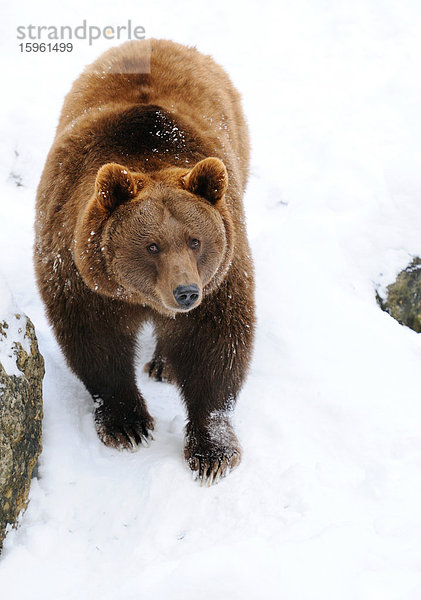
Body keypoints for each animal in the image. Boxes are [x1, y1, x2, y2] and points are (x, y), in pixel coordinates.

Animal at [34, 37, 254, 486]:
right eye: (152, 246)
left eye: (195, 241)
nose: (185, 292)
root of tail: (156, 41)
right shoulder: (79, 272)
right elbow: (96, 342)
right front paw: (127, 424)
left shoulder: (222, 275)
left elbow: (215, 346)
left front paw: (212, 451)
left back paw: (163, 365)